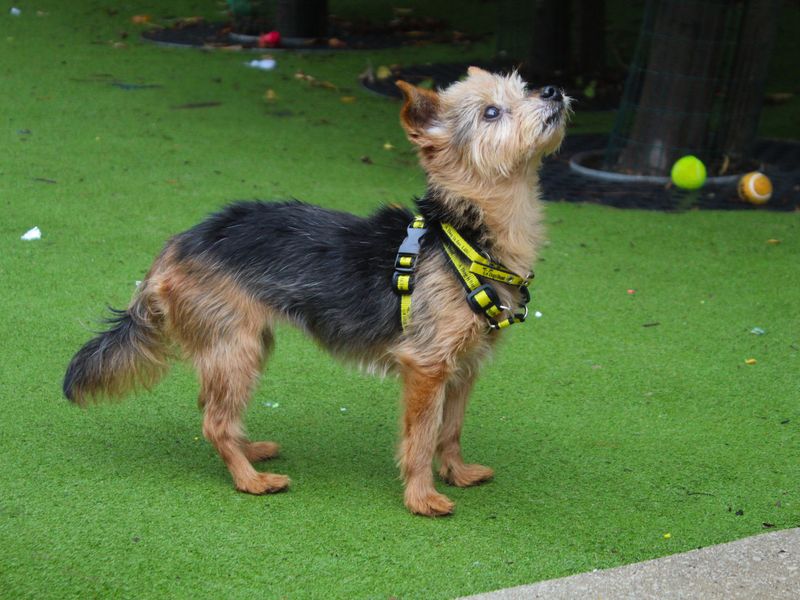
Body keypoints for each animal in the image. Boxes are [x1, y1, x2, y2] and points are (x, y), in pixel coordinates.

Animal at [62, 67, 568, 516]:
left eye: (524, 87)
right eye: (490, 112)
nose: (553, 90)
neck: (467, 236)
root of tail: (180, 243)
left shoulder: (463, 367)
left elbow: (452, 428)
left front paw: (457, 473)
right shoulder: (426, 366)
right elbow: (422, 437)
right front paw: (422, 498)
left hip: (243, 344)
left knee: (214, 406)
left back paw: (251, 450)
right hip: (236, 346)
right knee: (213, 421)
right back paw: (250, 480)